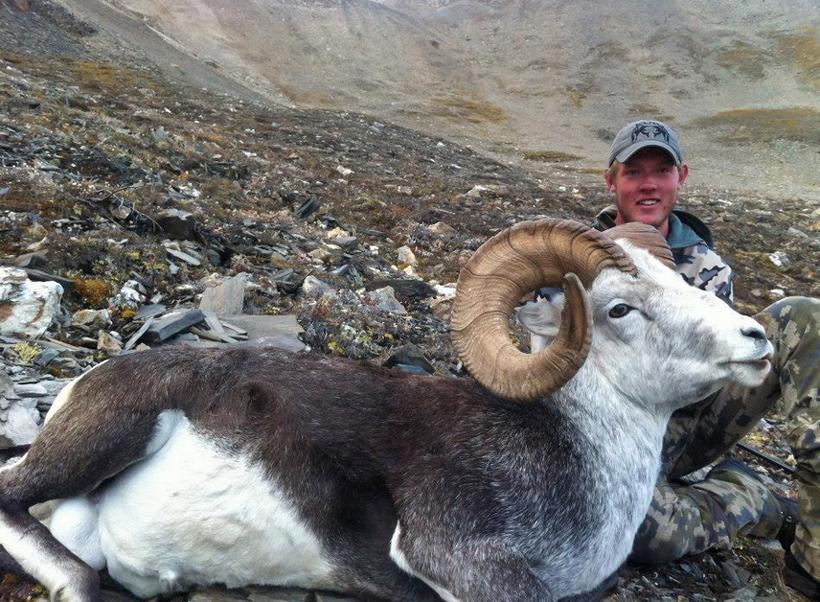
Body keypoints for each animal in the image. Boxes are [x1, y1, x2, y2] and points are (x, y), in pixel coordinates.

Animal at [0, 219, 773, 602]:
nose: (755, 339)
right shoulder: (455, 554)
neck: (574, 447)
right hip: (114, 432)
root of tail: (84, 383)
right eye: (619, 309)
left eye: (682, 280)